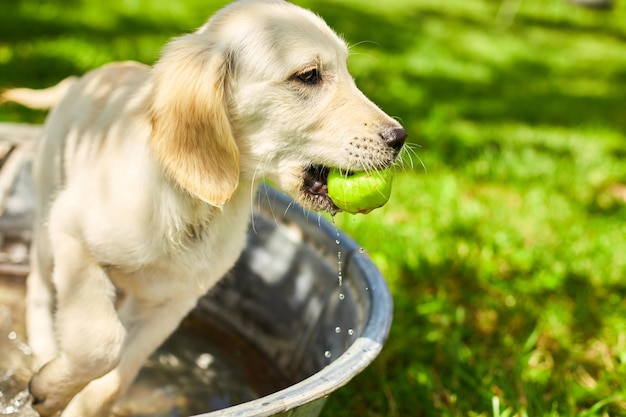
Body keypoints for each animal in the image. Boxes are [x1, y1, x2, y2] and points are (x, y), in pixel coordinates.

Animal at [2, 0, 408, 416]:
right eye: (308, 75)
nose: (400, 138)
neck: (192, 205)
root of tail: (83, 79)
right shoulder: (74, 233)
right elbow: (100, 343)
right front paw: (50, 389)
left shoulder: (173, 301)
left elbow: (114, 380)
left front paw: (76, 399)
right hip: (48, 220)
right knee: (39, 288)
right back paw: (44, 351)